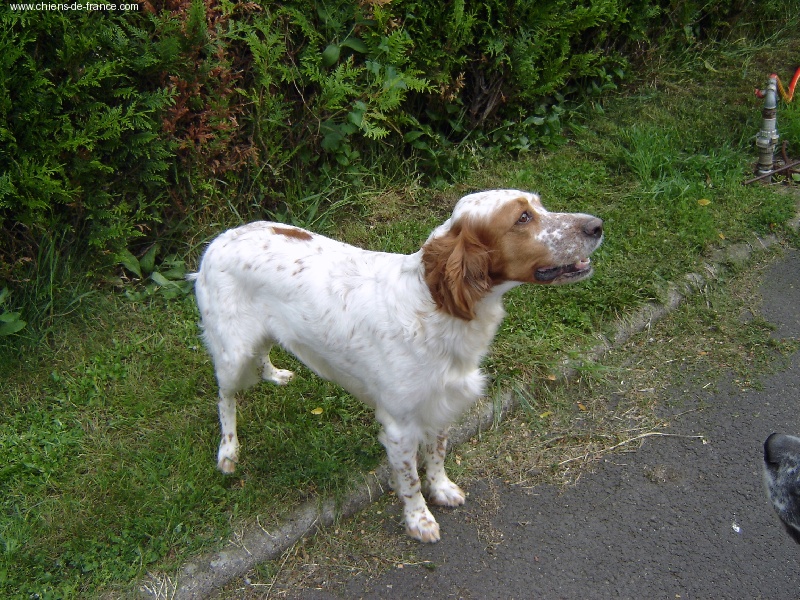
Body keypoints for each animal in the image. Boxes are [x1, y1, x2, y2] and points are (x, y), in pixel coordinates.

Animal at [191, 190, 604, 540]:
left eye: (539, 205)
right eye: (522, 218)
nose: (597, 225)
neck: (435, 308)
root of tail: (216, 242)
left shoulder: (440, 404)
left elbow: (436, 456)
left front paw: (443, 489)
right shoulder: (399, 426)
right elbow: (409, 480)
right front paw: (420, 520)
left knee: (261, 358)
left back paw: (275, 375)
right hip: (232, 354)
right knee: (224, 399)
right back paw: (228, 452)